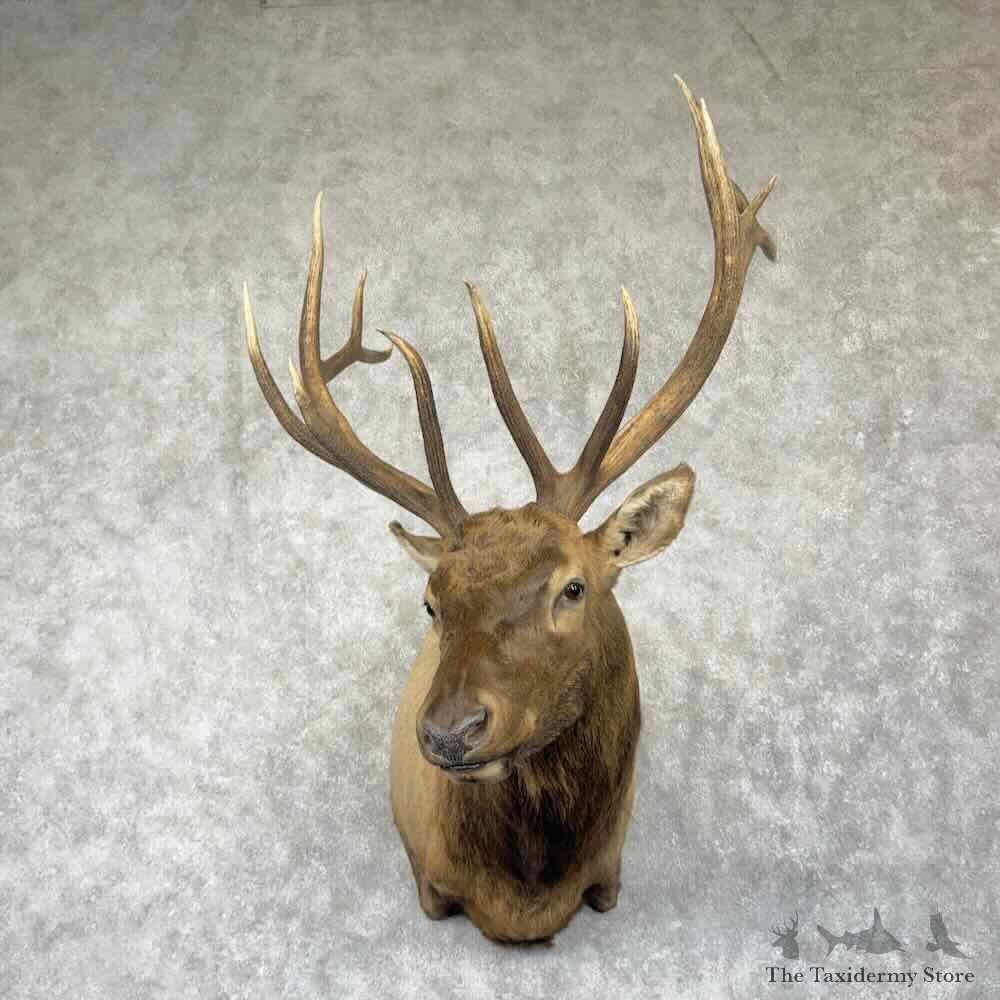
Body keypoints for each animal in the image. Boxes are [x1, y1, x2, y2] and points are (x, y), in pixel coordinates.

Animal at [242, 76, 776, 943]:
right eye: (431, 603)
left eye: (573, 587)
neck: (524, 898)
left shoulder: (610, 878)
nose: (448, 731)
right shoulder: (430, 883)